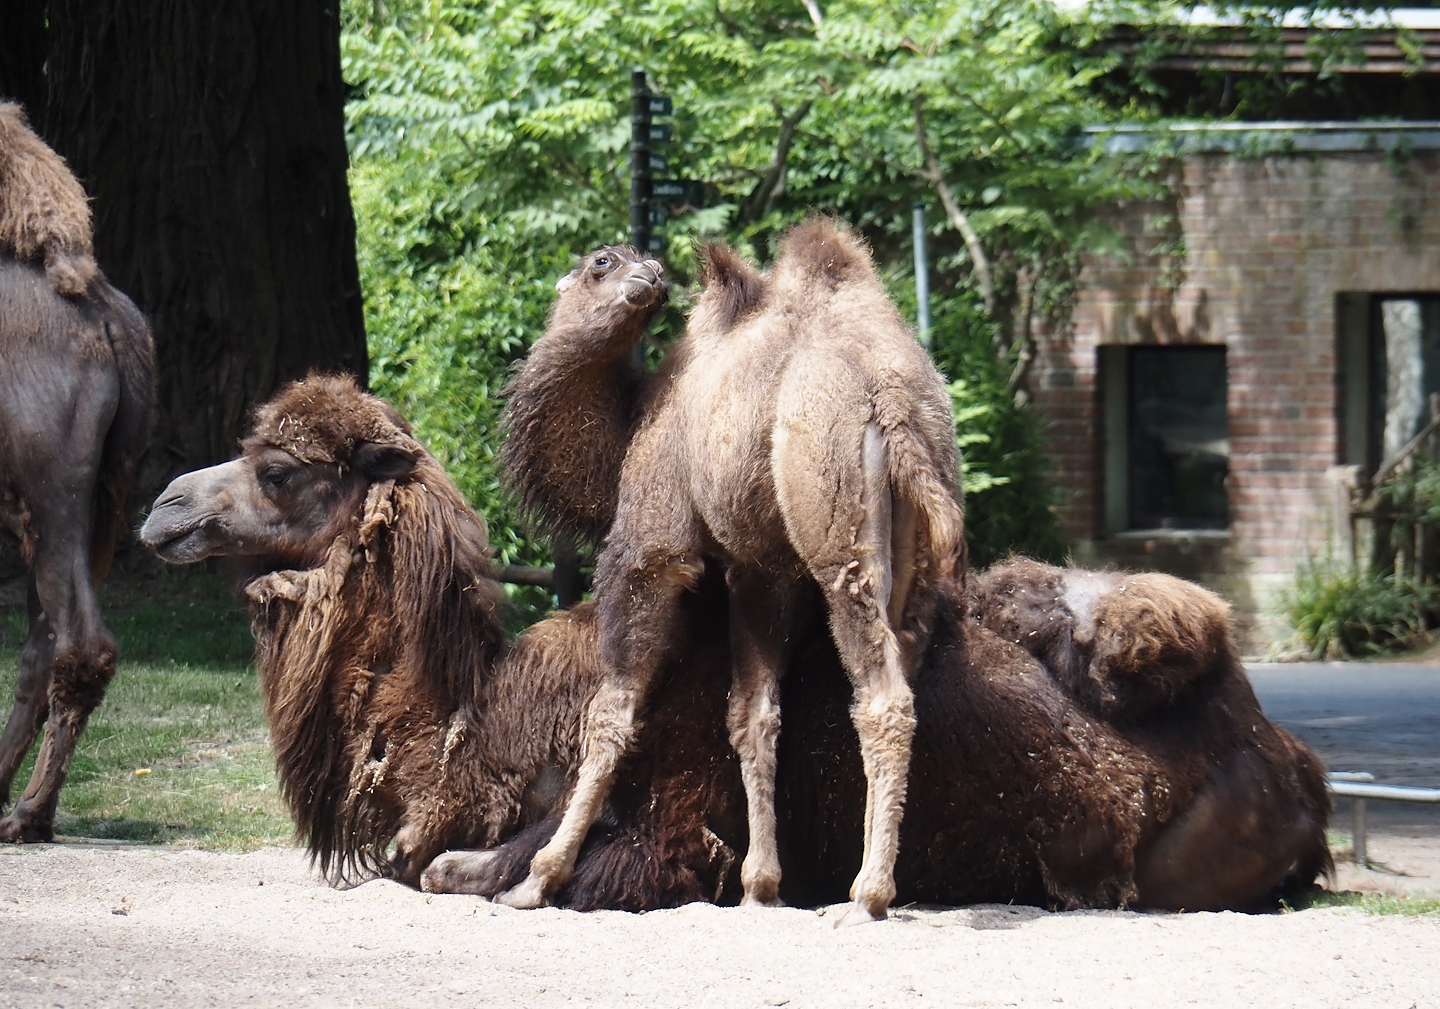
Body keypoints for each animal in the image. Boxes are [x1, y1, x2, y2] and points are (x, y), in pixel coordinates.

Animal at [142, 375, 1329, 912]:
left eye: (282, 471)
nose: (161, 507)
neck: (487, 722)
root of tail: (1294, 764)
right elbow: (427, 860)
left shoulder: (665, 834)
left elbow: (453, 867)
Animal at [498, 220, 965, 925]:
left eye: (604, 259)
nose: (649, 273)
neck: (631, 424)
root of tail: (894, 396)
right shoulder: (761, 568)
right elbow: (753, 715)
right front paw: (760, 886)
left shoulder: (651, 544)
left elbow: (611, 712)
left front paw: (538, 878)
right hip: (920, 542)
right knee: (898, 673)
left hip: (835, 528)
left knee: (883, 694)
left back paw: (867, 897)